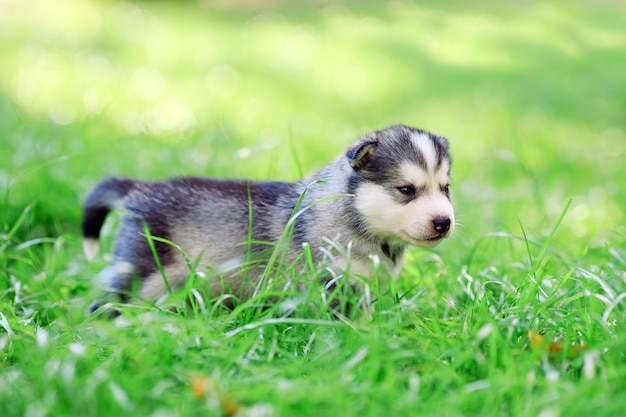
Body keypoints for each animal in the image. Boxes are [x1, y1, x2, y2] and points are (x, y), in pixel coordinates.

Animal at [83, 124, 454, 312]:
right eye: (405, 189)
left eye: (445, 188)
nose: (444, 222)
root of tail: (139, 188)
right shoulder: (330, 280)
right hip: (141, 271)